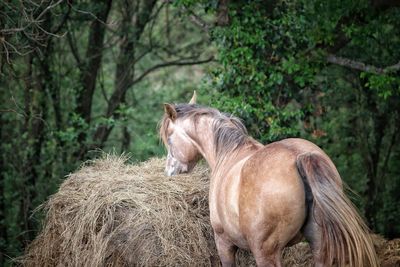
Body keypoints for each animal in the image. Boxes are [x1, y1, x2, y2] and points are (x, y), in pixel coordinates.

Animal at [159, 92, 378, 267]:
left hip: (266, 253)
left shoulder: (224, 243)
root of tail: (299, 156)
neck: (229, 153)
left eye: (169, 138)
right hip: (319, 245)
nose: (169, 171)